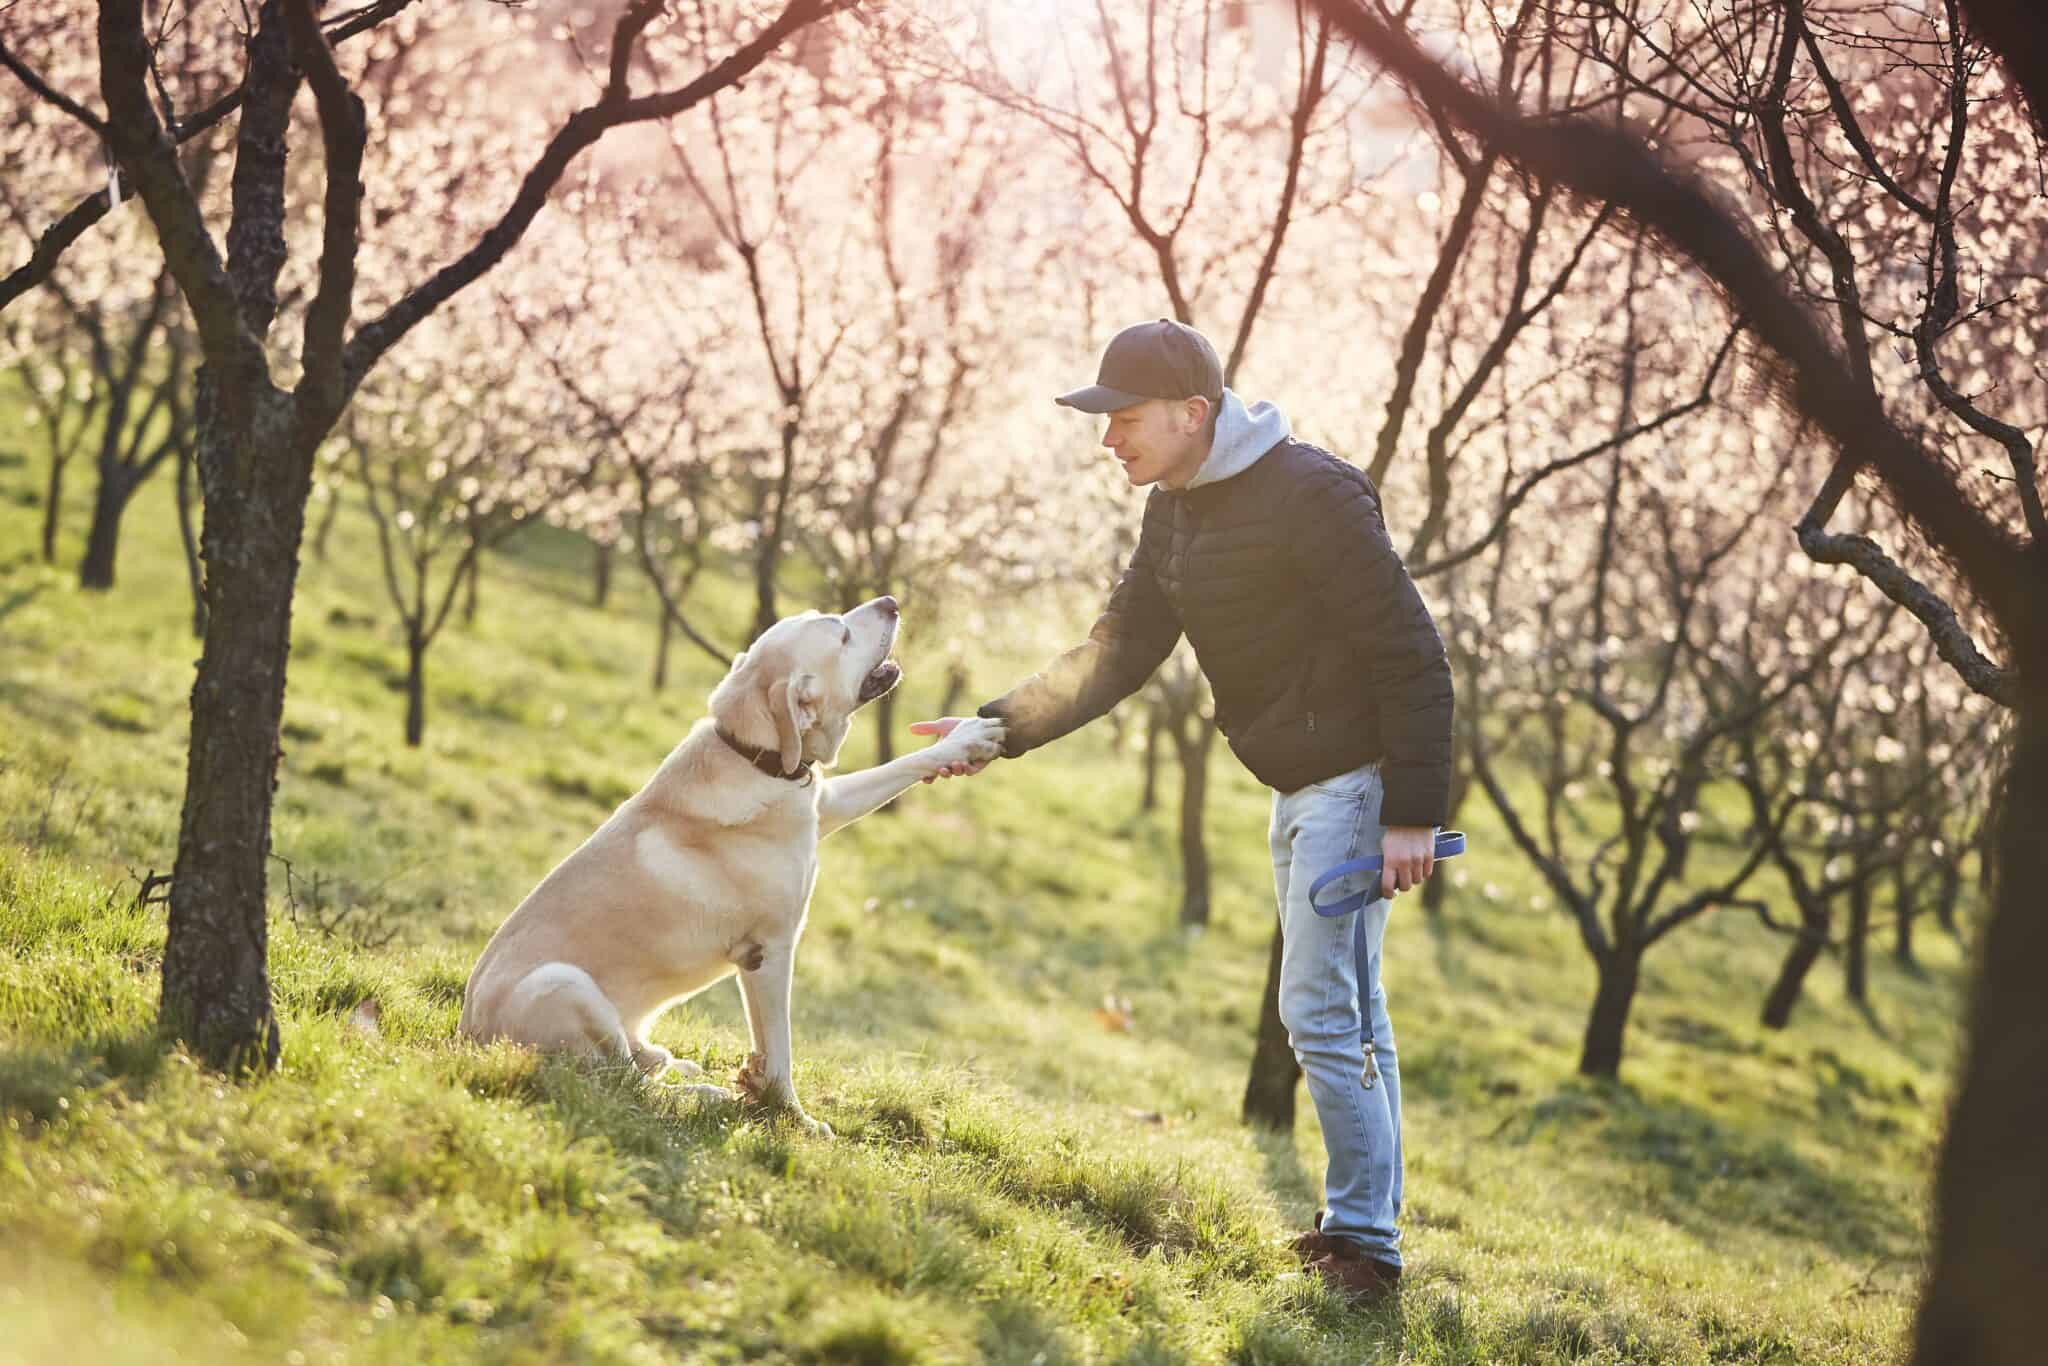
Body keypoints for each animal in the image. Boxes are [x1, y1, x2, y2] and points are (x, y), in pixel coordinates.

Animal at [462, 593, 1007, 1138]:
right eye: (842, 634)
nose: (891, 601)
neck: (755, 755)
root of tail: (468, 1037)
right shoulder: (769, 951)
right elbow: (779, 1049)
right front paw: (792, 1116)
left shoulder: (824, 801)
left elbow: (897, 766)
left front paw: (965, 738)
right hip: (562, 982)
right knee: (623, 1085)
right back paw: (704, 1095)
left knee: (630, 1068)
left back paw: (664, 1059)